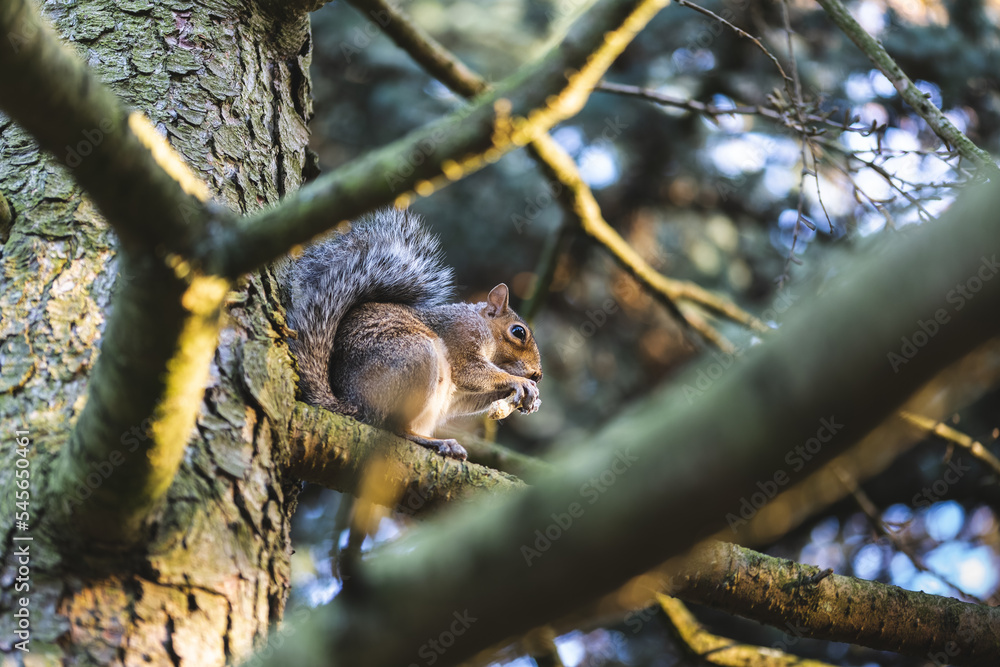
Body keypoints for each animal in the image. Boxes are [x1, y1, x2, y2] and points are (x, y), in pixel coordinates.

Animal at [283, 207, 542, 460]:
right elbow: (470, 371)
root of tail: (355, 404)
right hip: (417, 357)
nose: (538, 375)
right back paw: (436, 442)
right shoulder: (461, 336)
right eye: (518, 332)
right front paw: (521, 382)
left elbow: (468, 397)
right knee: (393, 428)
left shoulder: (457, 396)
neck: (482, 325)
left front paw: (531, 397)